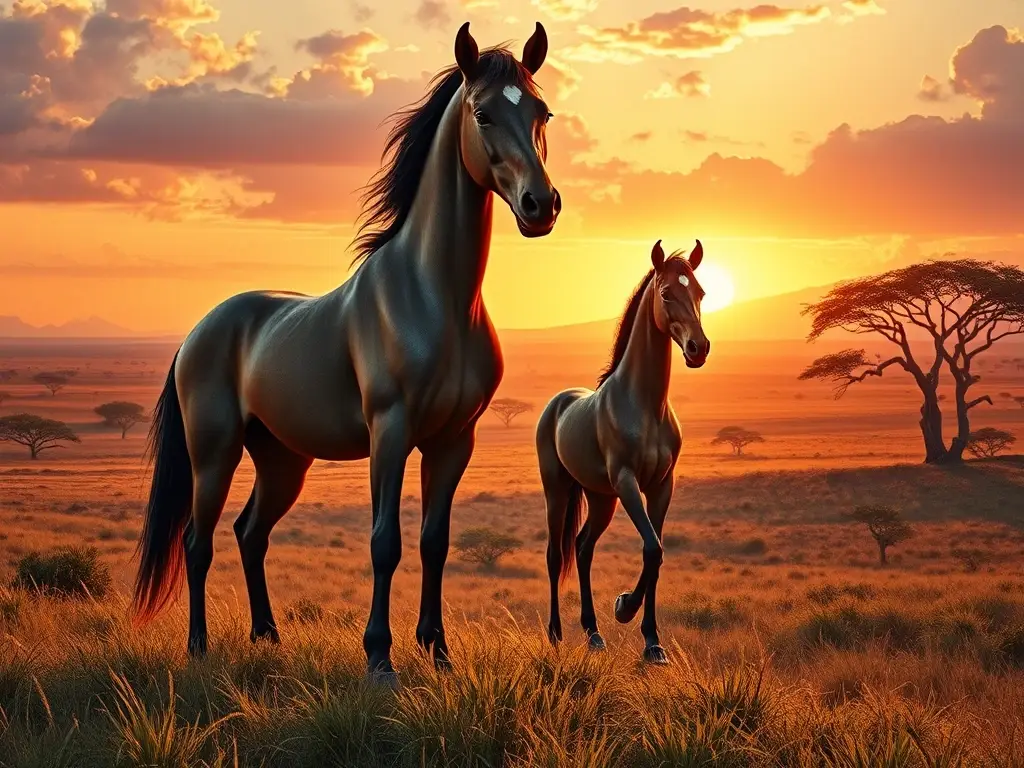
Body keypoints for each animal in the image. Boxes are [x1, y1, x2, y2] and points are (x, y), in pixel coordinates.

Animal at [132, 21, 561, 684]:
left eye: (542, 113)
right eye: (483, 113)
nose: (541, 206)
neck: (436, 297)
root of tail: (200, 332)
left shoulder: (453, 440)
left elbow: (435, 541)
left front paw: (437, 650)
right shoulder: (390, 432)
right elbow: (385, 542)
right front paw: (379, 657)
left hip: (283, 460)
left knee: (250, 534)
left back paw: (268, 637)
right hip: (214, 452)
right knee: (197, 543)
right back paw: (199, 647)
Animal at [537, 239, 710, 664]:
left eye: (699, 292)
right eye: (666, 293)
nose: (698, 349)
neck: (644, 405)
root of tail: (558, 404)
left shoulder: (661, 487)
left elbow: (657, 554)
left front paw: (653, 642)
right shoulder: (628, 482)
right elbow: (651, 547)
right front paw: (625, 607)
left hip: (601, 498)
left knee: (583, 548)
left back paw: (594, 633)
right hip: (558, 490)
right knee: (555, 555)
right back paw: (555, 633)